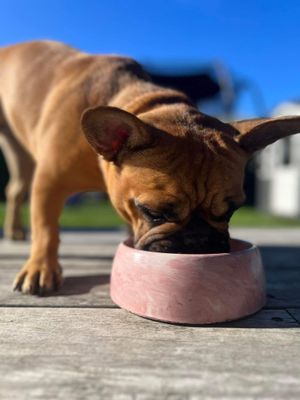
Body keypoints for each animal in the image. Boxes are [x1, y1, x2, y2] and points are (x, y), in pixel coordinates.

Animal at [0, 40, 300, 296]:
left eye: (230, 212)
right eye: (154, 213)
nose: (198, 240)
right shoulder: (49, 182)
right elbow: (46, 229)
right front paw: (40, 268)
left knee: (14, 190)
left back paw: (15, 231)